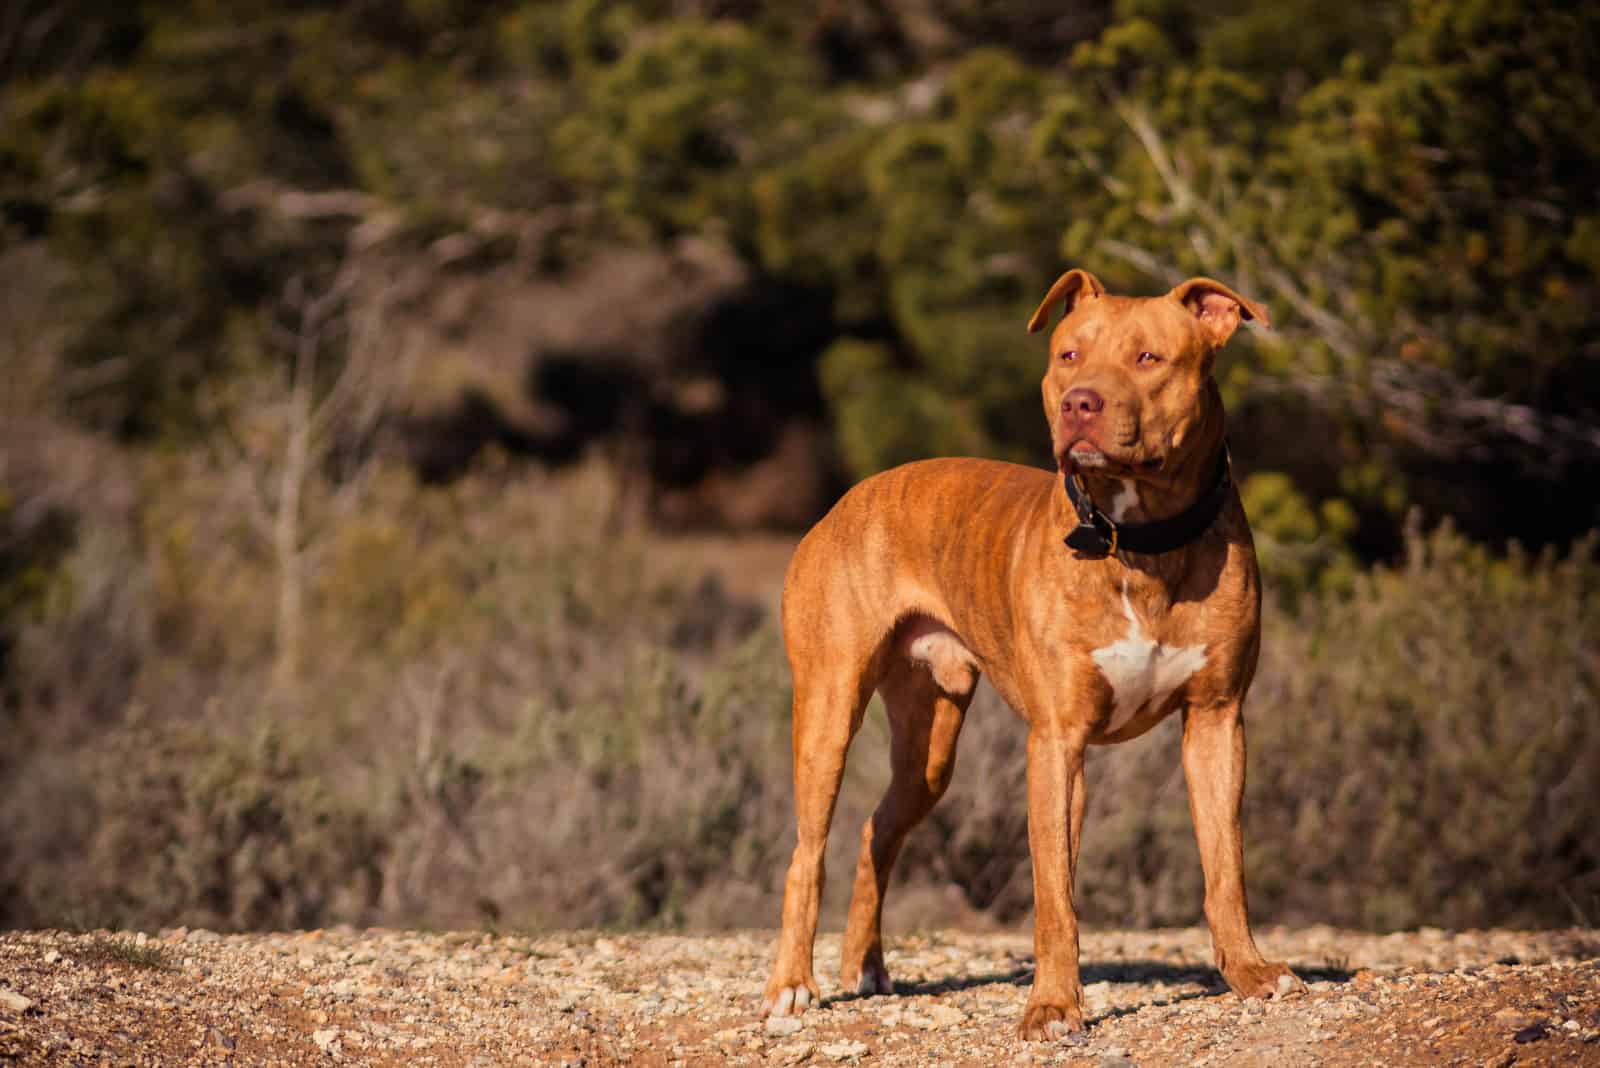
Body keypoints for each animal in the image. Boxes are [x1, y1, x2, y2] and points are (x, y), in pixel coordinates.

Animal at [761, 268, 1299, 1042]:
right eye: (1069, 356)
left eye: (1149, 358)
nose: (1080, 404)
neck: (1136, 538)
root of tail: (847, 497)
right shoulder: (1057, 742)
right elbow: (1054, 894)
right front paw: (1052, 1006)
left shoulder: (1217, 721)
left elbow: (1226, 867)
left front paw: (1250, 973)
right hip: (830, 705)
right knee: (807, 851)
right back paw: (790, 986)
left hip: (929, 743)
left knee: (877, 828)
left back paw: (865, 965)